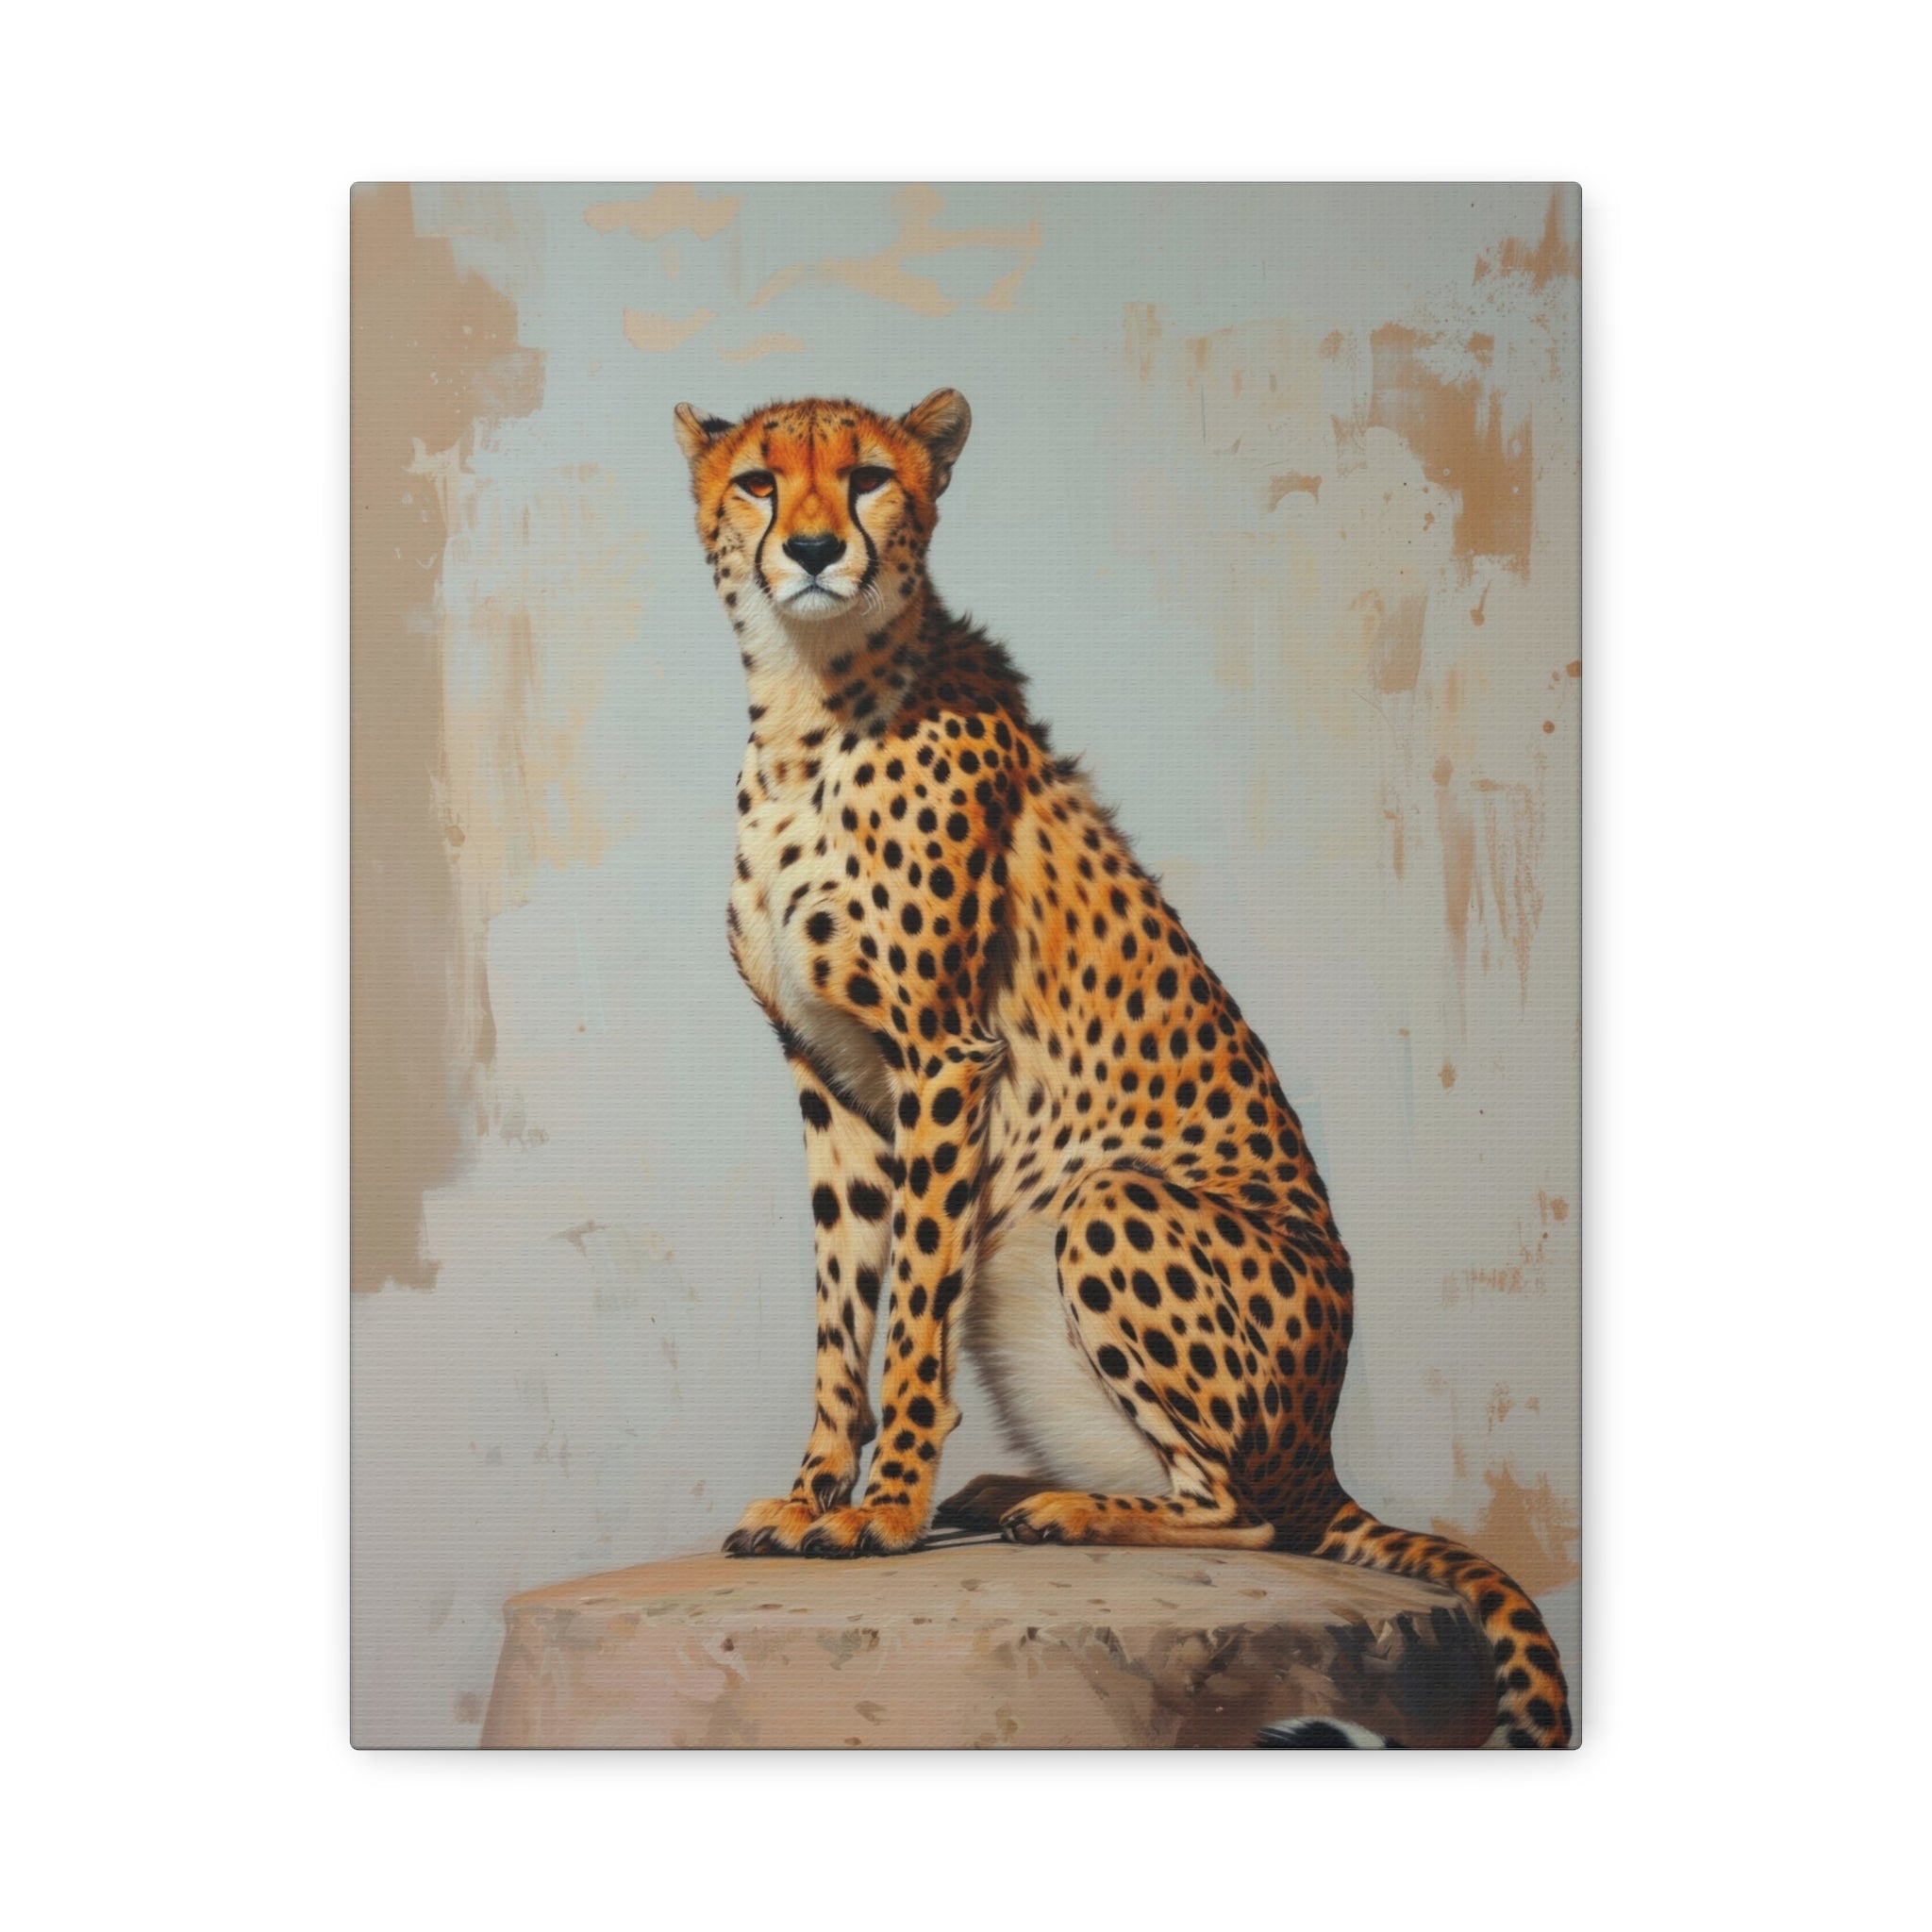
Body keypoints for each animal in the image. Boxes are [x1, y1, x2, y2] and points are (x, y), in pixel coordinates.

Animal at [674, 389, 1572, 1748]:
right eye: (760, 482)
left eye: (871, 477)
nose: (819, 551)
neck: (803, 703)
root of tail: (1324, 1454)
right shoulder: (825, 1075)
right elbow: (842, 1305)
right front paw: (810, 1492)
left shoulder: (941, 1053)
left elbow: (913, 1309)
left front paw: (880, 1509)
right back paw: (1003, 1488)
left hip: (1108, 1202)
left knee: (1250, 1514)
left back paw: (1052, 1509)